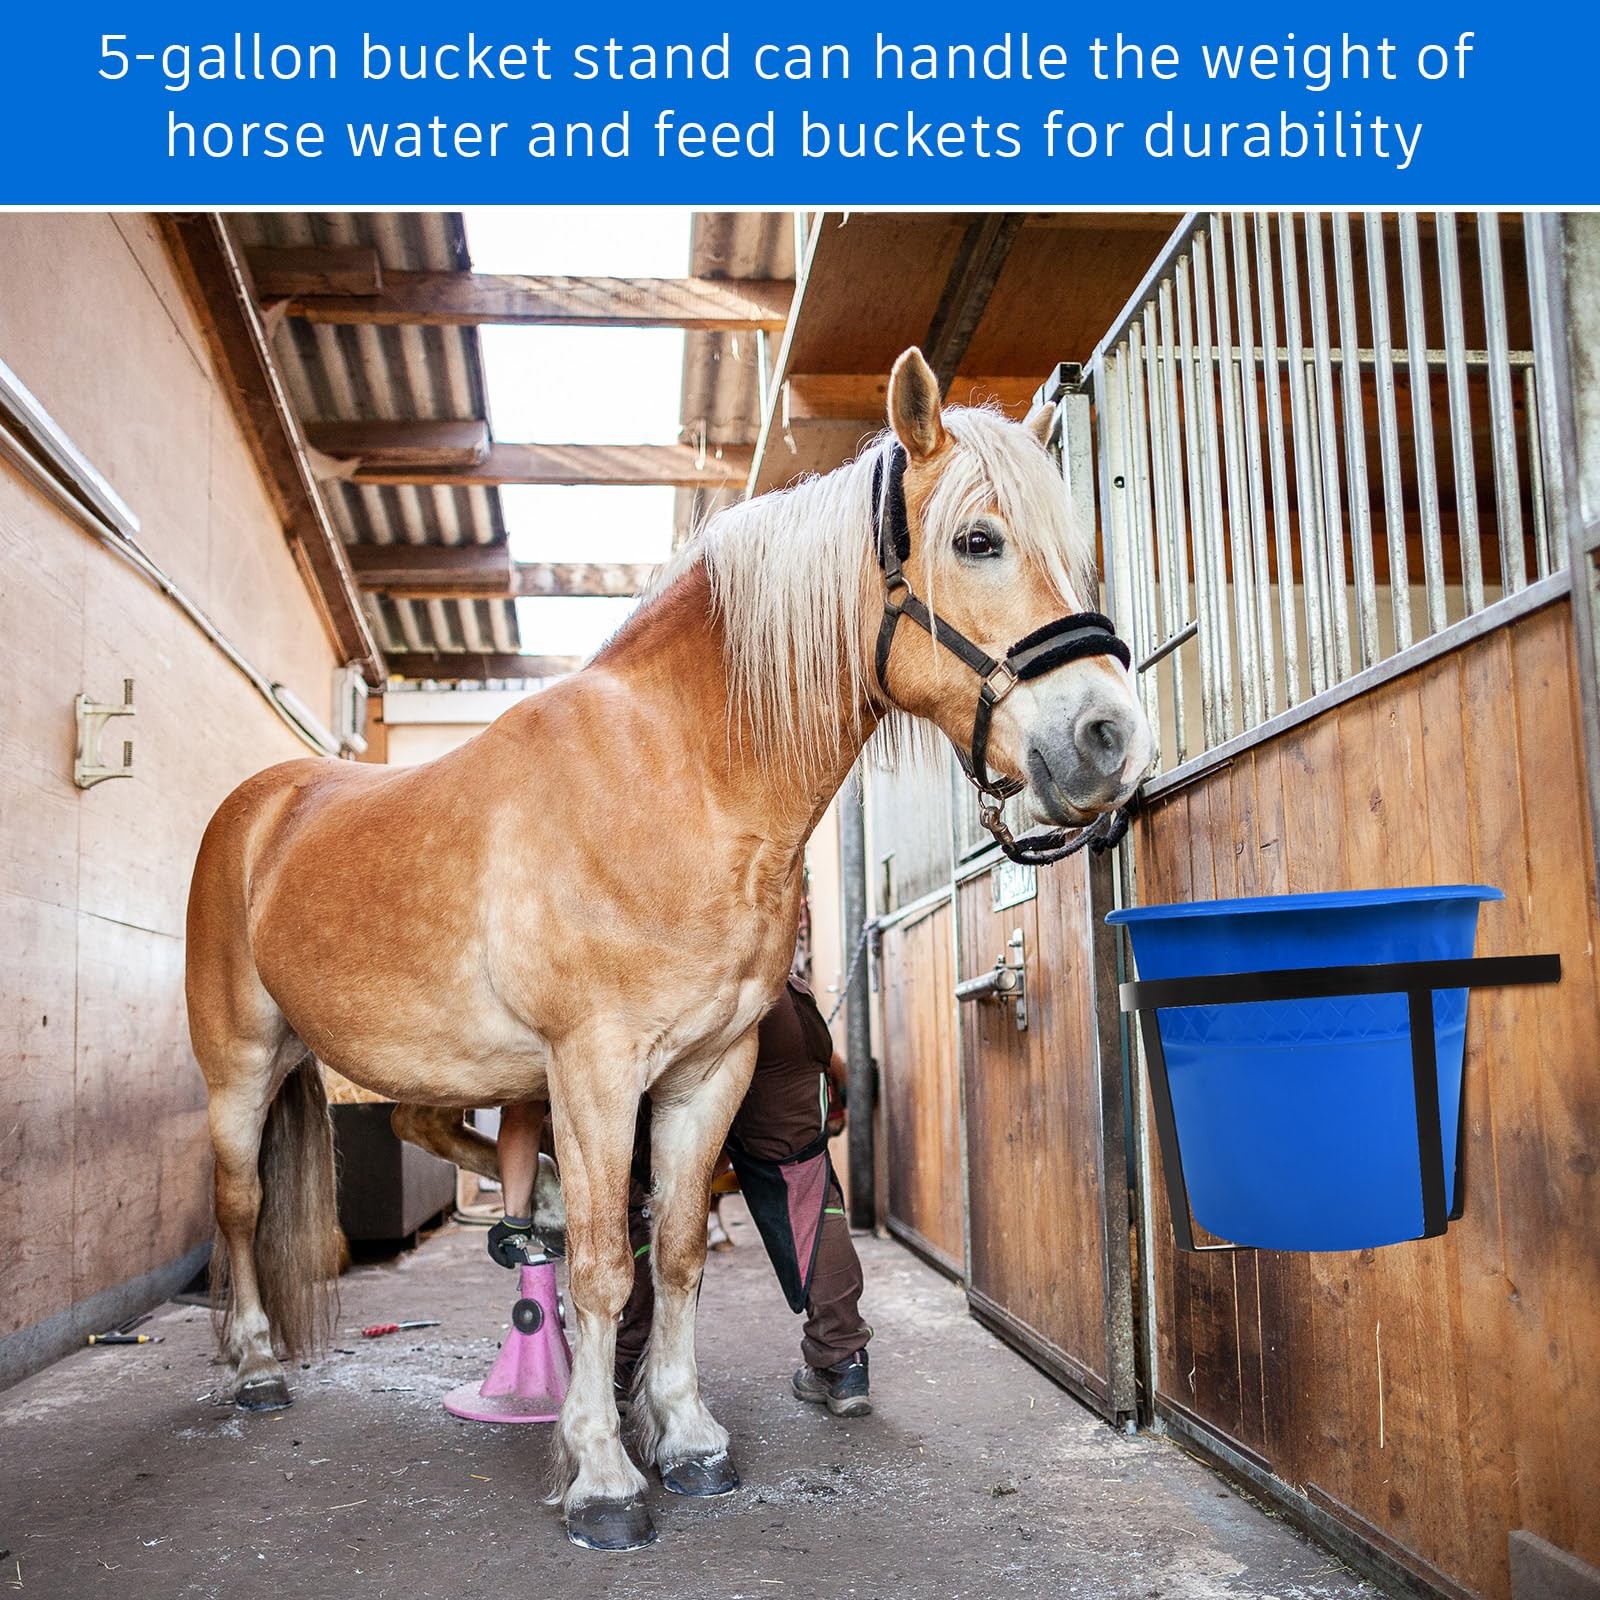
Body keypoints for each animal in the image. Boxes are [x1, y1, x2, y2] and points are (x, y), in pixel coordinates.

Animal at [184, 348, 1154, 1550]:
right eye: (979, 540)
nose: (1111, 740)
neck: (674, 776)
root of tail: (262, 805)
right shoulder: (596, 1069)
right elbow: (606, 1265)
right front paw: (602, 1474)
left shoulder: (708, 1070)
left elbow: (682, 1248)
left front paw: (687, 1438)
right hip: (238, 1066)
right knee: (239, 1206)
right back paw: (255, 1368)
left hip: (374, 1060)